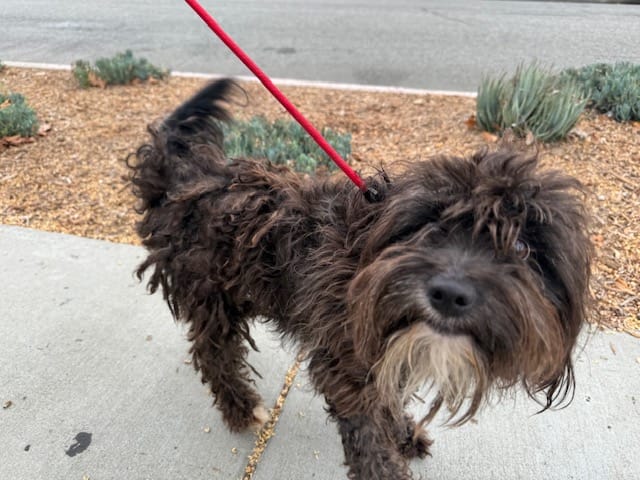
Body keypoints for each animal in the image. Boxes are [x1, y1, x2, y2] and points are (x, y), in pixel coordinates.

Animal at [127, 79, 592, 480]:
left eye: (523, 248)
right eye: (430, 225)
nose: (449, 294)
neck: (365, 254)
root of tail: (185, 177)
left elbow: (388, 400)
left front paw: (403, 434)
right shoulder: (346, 364)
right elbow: (369, 440)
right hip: (211, 298)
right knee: (213, 353)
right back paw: (240, 409)